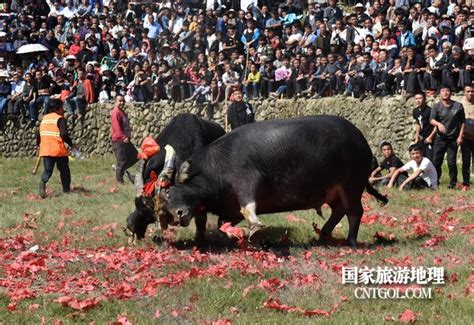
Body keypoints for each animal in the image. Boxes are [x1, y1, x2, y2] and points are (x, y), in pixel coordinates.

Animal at [161, 115, 386, 247]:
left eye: (170, 192)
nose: (178, 215)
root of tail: (363, 141)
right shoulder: (230, 209)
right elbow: (221, 224)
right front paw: (237, 235)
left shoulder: (246, 179)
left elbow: (248, 206)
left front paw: (255, 233)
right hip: (334, 190)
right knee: (339, 210)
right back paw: (322, 235)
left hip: (352, 185)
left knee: (355, 211)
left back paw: (351, 242)